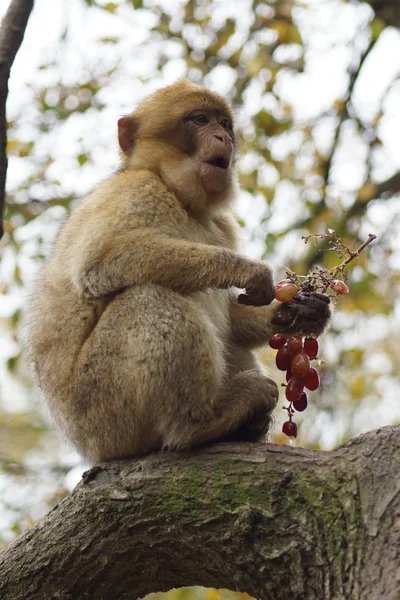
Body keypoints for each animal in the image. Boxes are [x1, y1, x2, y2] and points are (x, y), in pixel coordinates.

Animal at [27, 79, 328, 464]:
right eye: (199, 120)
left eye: (223, 123)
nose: (223, 137)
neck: (181, 198)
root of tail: (91, 449)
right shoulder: (136, 191)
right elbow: (99, 264)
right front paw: (244, 269)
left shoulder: (221, 225)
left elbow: (233, 319)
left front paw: (299, 313)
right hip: (102, 410)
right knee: (148, 297)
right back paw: (198, 424)